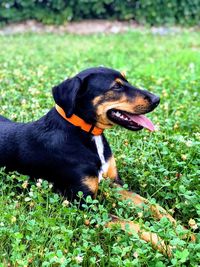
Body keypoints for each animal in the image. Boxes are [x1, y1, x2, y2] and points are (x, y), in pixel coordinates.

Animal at [0, 67, 159, 201]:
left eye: (127, 81)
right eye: (116, 86)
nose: (157, 99)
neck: (89, 133)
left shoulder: (115, 183)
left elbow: (149, 204)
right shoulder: (83, 200)